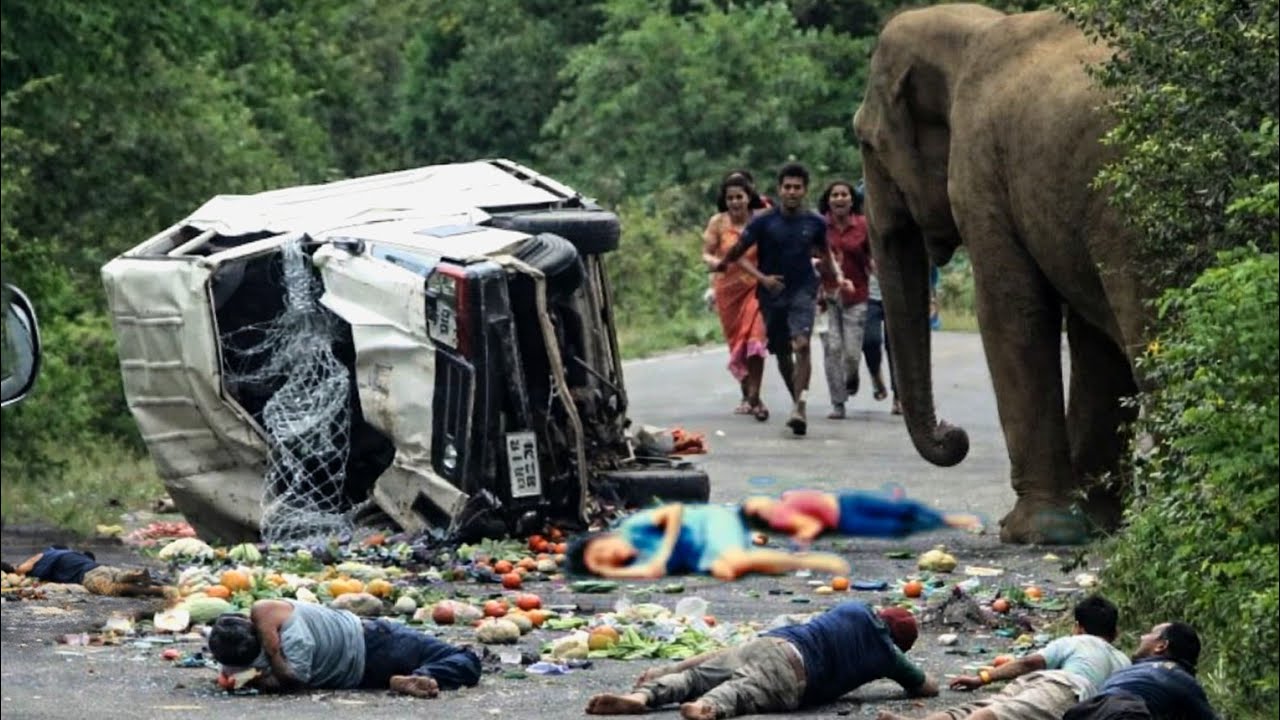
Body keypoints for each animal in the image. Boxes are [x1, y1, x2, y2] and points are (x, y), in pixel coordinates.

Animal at [853, 4, 1153, 544]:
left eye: (866, 143)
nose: (955, 435)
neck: (972, 31)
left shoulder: (981, 165)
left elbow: (1009, 309)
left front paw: (1031, 532)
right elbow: (1092, 339)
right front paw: (1092, 526)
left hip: (1136, 210)